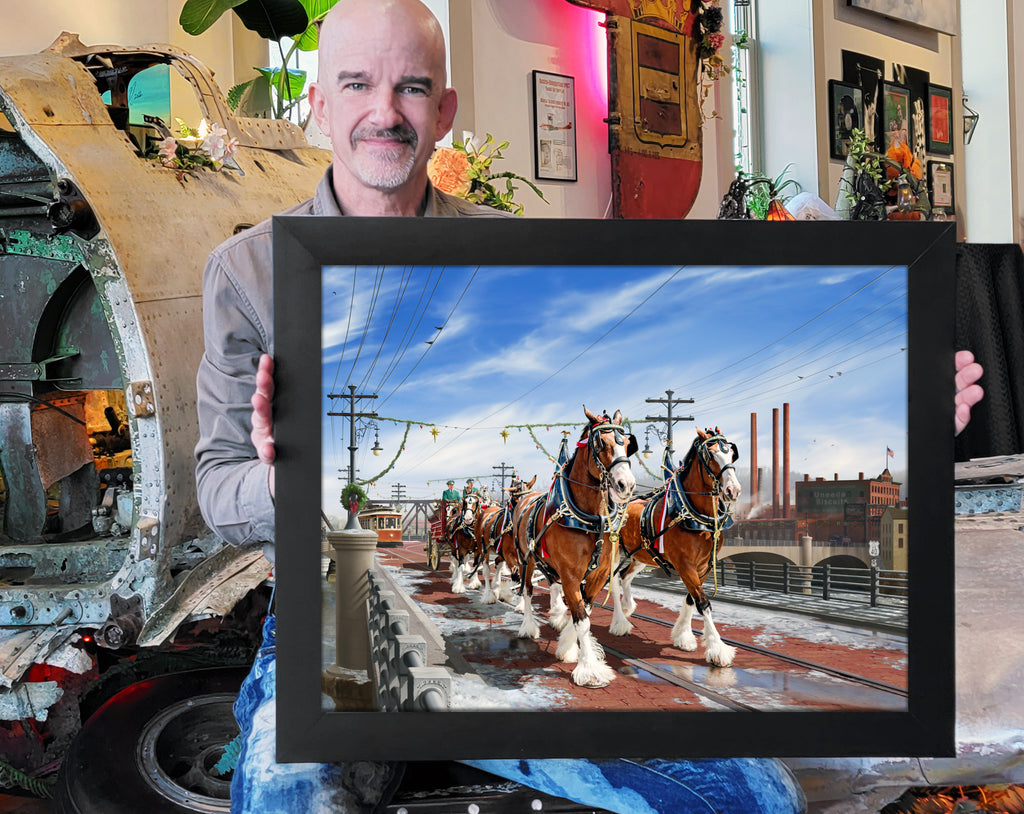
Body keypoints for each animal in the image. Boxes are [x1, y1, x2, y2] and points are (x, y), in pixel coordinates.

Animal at [512, 407, 638, 688]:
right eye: (600, 443)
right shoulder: (570, 574)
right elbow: (582, 620)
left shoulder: (598, 574)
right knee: (527, 591)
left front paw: (567, 647)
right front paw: (590, 669)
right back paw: (527, 627)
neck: (589, 518)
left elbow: (583, 611)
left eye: (627, 443)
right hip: (527, 560)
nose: (626, 485)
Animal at [610, 425, 741, 667]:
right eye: (711, 455)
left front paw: (683, 636)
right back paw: (620, 623)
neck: (695, 517)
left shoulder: (704, 566)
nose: (733, 490)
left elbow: (691, 599)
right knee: (614, 582)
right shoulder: (685, 564)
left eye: (731, 454)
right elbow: (703, 602)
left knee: (625, 577)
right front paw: (718, 649)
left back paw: (627, 606)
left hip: (641, 555)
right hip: (614, 553)